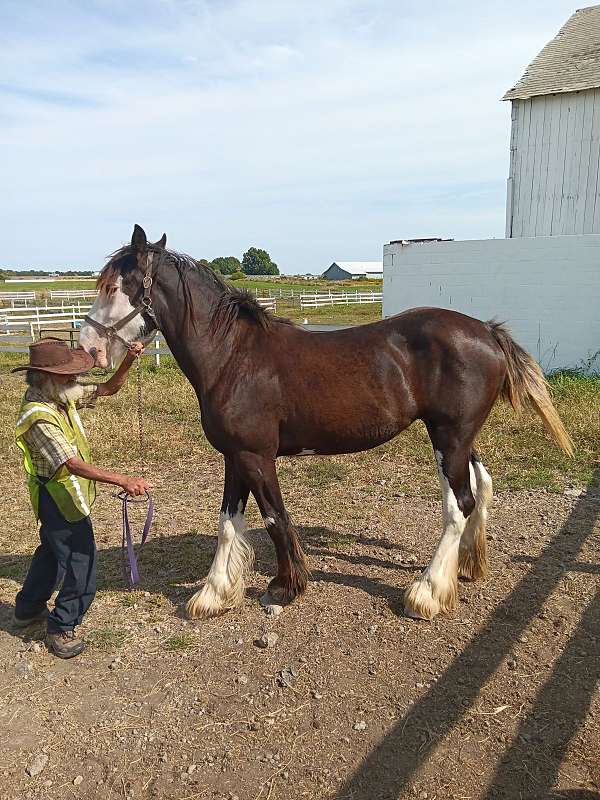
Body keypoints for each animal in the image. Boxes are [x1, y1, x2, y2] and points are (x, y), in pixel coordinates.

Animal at [77, 228, 576, 620]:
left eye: (115, 287)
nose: (88, 348)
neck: (234, 356)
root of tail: (487, 331)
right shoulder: (235, 457)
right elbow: (228, 521)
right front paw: (214, 593)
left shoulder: (256, 456)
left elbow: (275, 518)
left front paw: (285, 587)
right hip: (459, 436)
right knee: (482, 488)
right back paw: (467, 568)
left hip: (448, 438)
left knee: (459, 506)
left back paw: (428, 593)